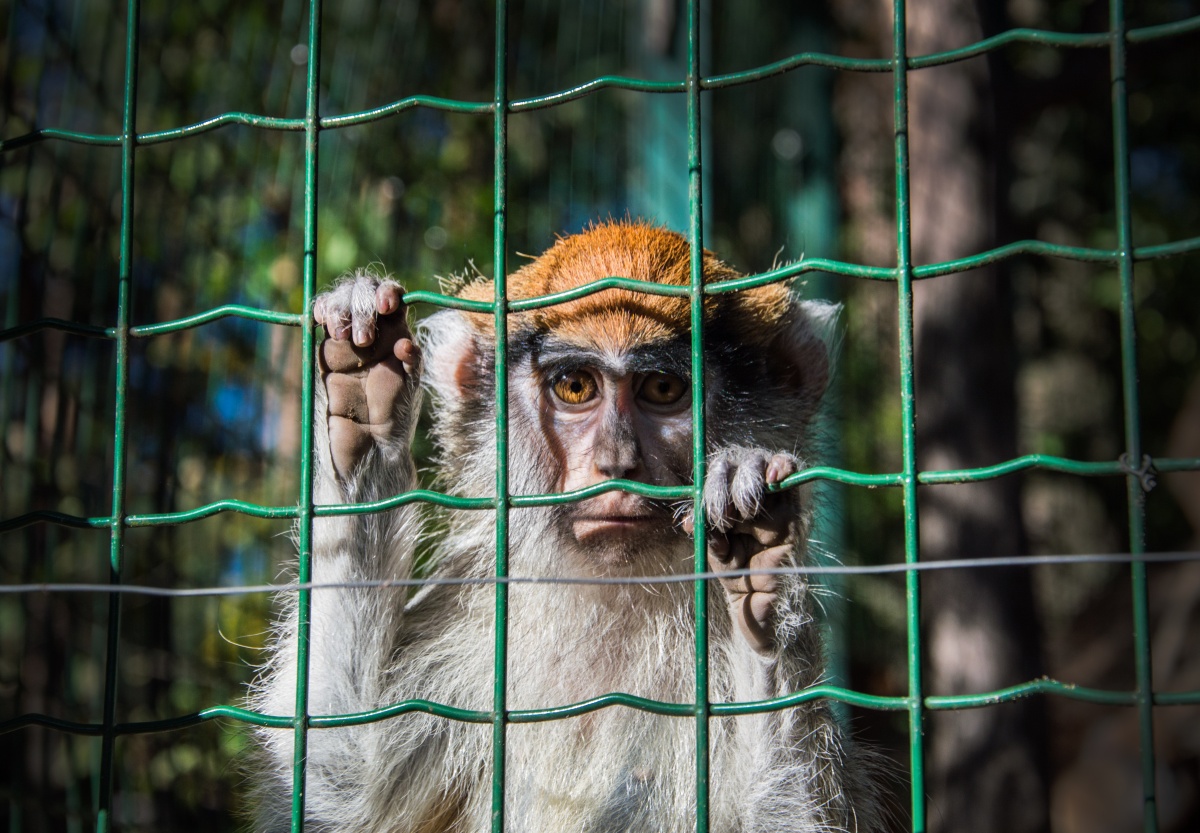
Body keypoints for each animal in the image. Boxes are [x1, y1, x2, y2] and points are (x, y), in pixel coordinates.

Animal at [250, 218, 883, 830]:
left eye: (663, 389)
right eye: (576, 387)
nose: (615, 464)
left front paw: (758, 562)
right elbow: (340, 788)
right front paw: (361, 412)